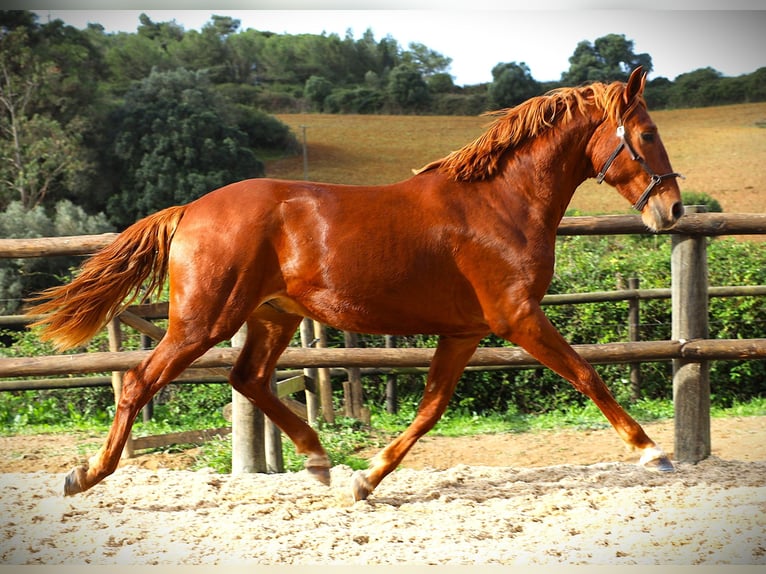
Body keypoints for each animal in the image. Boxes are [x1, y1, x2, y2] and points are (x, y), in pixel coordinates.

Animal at [25, 65, 684, 502]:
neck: (500, 204)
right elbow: (588, 374)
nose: (673, 209)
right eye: (648, 134)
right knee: (141, 382)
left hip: (274, 315)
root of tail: (191, 210)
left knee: (248, 379)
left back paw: (318, 461)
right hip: (203, 320)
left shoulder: (466, 332)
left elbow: (431, 408)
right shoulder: (518, 318)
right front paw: (653, 453)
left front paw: (365, 479)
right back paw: (85, 475)